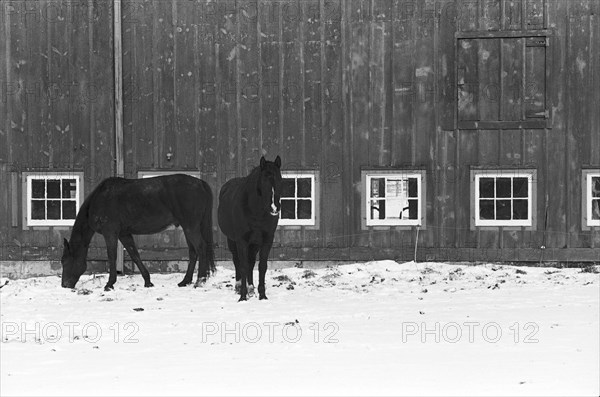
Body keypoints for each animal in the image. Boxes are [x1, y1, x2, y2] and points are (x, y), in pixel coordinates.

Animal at [60, 175, 216, 290]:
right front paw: (148, 281)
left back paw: (200, 281)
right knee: (193, 252)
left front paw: (109, 284)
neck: (100, 200)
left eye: (64, 261)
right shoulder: (124, 234)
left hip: (191, 227)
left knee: (201, 248)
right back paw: (186, 281)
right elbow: (134, 254)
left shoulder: (110, 233)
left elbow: (111, 256)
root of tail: (201, 183)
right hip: (188, 227)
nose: (64, 285)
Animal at [219, 155, 282, 300]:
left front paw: (262, 295)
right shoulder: (241, 240)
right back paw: (238, 287)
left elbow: (261, 266)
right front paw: (242, 297)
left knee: (251, 262)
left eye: (280, 179)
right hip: (232, 240)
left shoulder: (266, 240)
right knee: (237, 261)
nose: (274, 208)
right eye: (264, 180)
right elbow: (243, 265)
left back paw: (251, 288)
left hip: (254, 243)